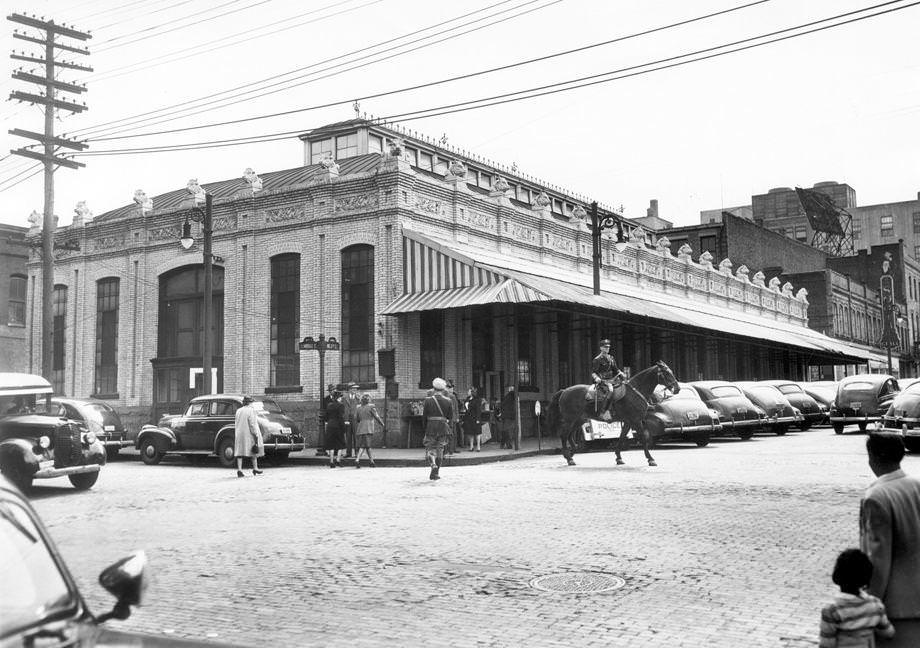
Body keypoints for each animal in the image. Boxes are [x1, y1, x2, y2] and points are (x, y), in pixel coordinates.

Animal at [548, 362, 684, 468]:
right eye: (666, 373)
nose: (677, 388)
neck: (636, 391)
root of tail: (564, 391)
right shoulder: (636, 421)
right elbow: (643, 438)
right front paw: (651, 459)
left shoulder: (629, 421)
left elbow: (622, 437)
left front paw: (618, 457)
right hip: (570, 419)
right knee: (564, 435)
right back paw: (569, 457)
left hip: (579, 420)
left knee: (570, 436)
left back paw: (571, 455)